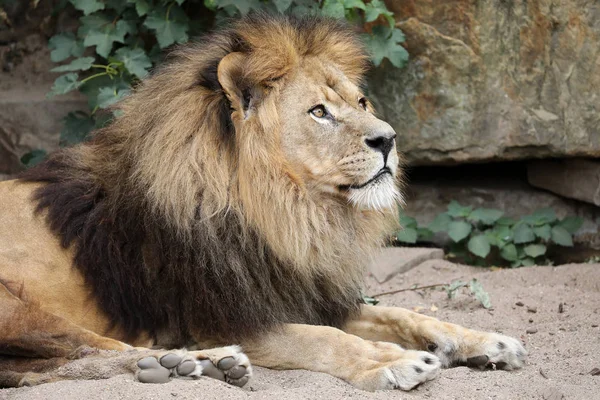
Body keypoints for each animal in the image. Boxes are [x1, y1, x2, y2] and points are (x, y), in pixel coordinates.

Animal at [0, 14, 524, 392]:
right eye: (319, 112)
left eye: (361, 102)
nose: (389, 140)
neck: (287, 214)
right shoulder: (222, 316)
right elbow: (323, 339)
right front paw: (395, 362)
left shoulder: (296, 292)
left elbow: (402, 314)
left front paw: (485, 341)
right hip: (18, 309)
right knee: (96, 350)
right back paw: (199, 362)